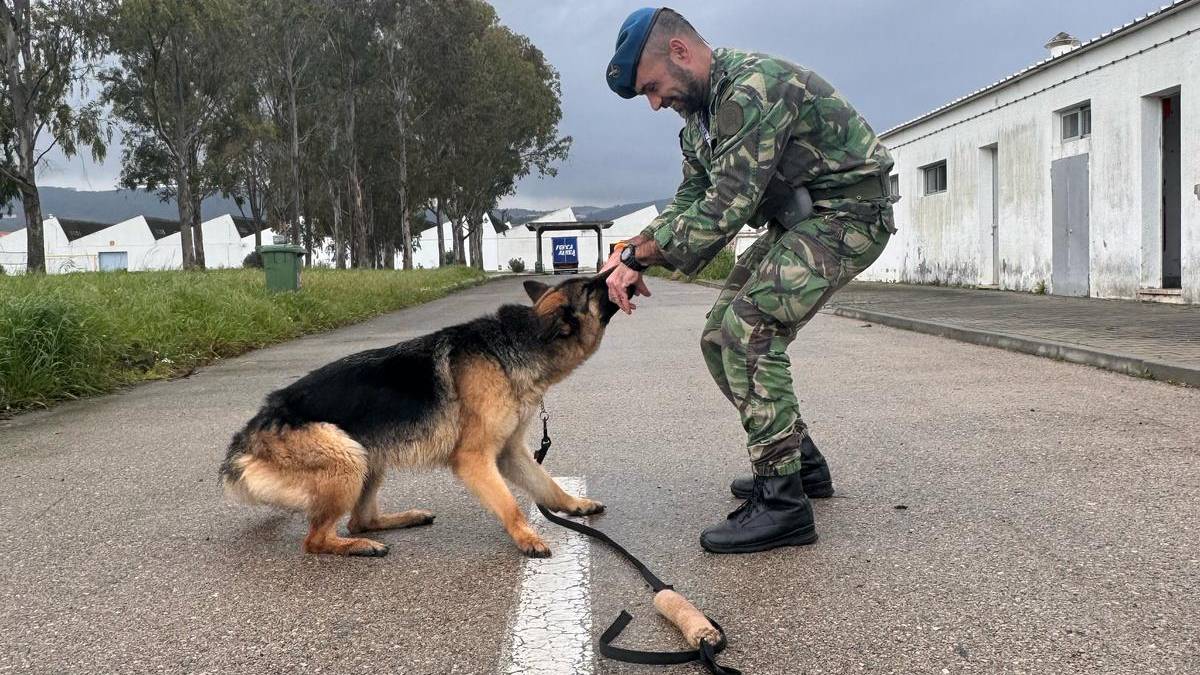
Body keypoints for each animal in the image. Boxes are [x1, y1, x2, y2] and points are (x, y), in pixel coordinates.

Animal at [219, 269, 624, 557]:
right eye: (591, 288)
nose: (620, 264)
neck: (513, 345)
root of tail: (248, 433)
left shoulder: (510, 453)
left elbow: (547, 485)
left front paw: (575, 505)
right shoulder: (475, 460)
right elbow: (510, 504)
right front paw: (526, 536)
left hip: (368, 458)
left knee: (360, 521)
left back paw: (400, 520)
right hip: (347, 456)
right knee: (318, 539)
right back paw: (357, 548)